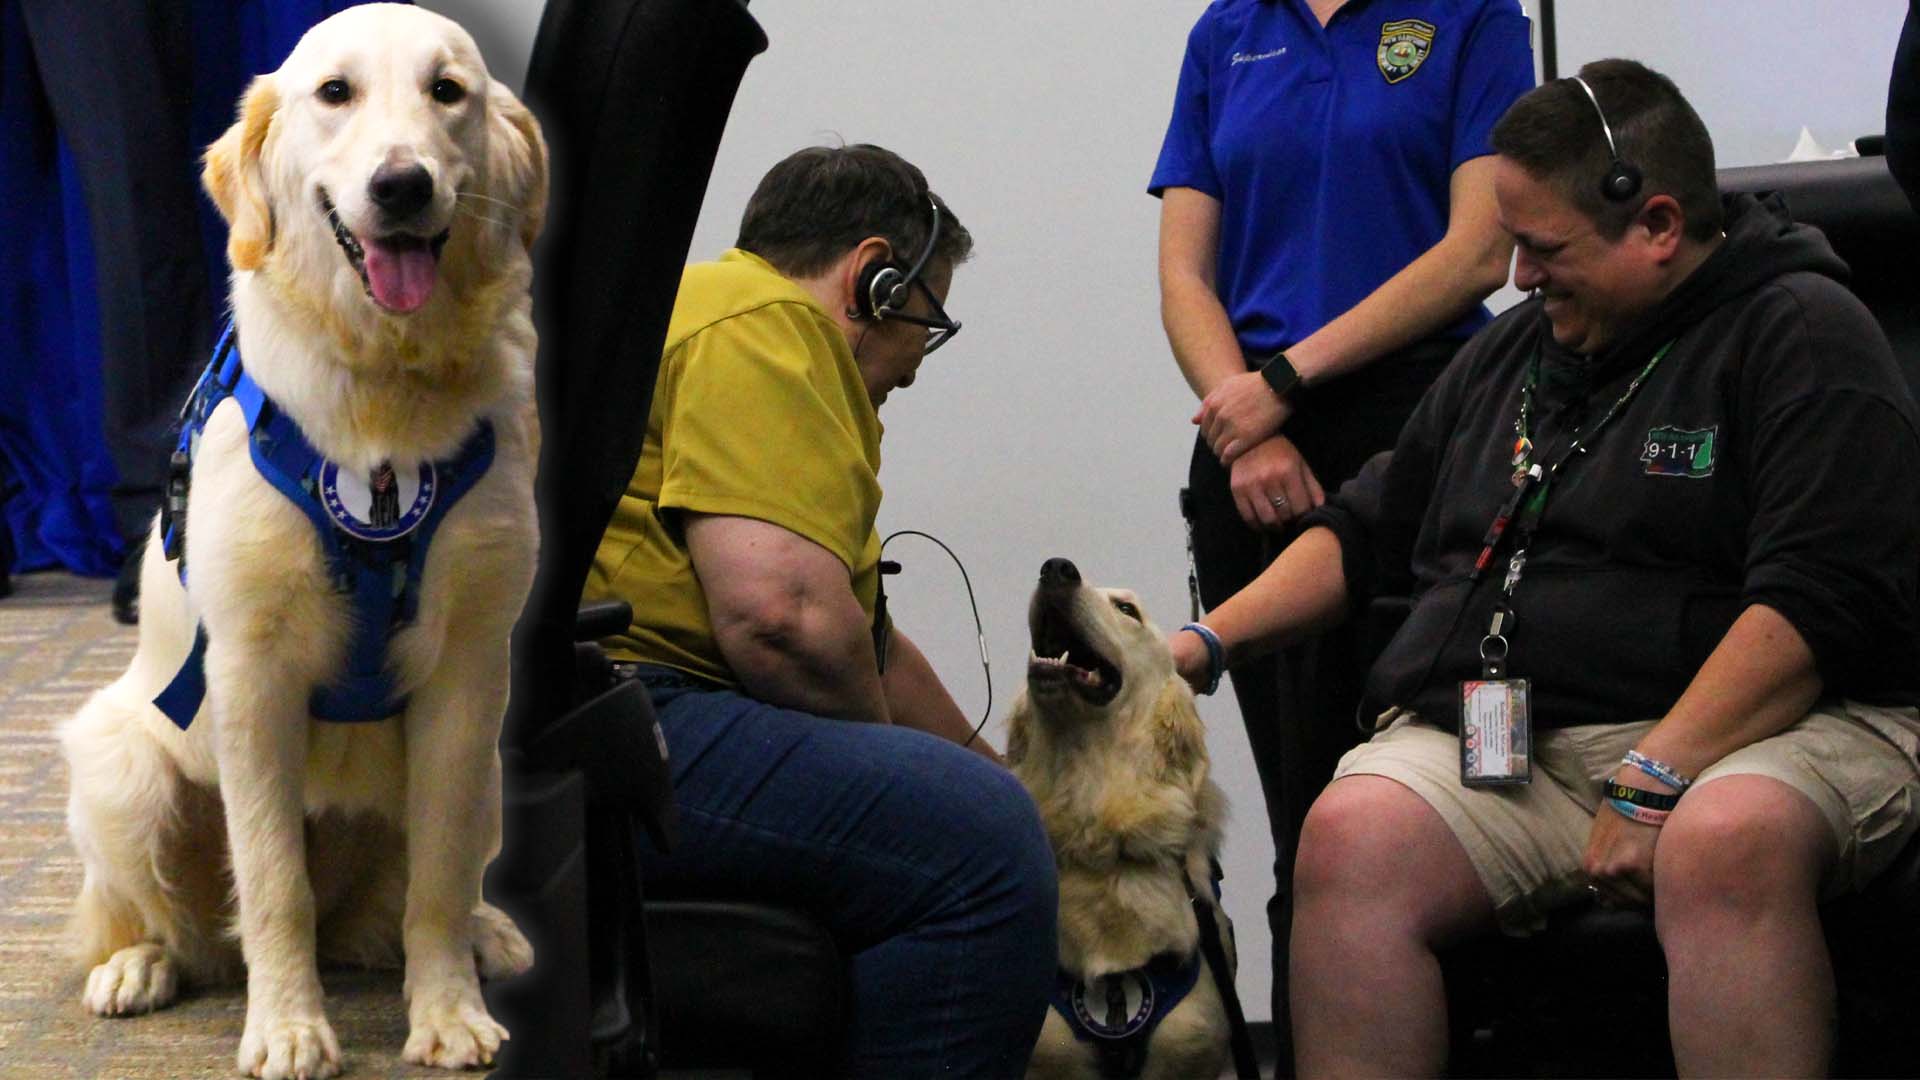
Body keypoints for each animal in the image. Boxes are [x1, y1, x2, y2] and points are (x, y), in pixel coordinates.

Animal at [60, 4, 549, 1068]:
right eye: (335, 93)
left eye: (448, 92)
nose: (402, 185)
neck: (384, 392)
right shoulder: (252, 674)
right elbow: (273, 884)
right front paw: (288, 1028)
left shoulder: (471, 674)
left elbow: (440, 878)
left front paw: (446, 1011)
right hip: (121, 768)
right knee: (178, 929)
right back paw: (137, 968)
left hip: (494, 768)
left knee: (412, 899)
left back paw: (487, 935)